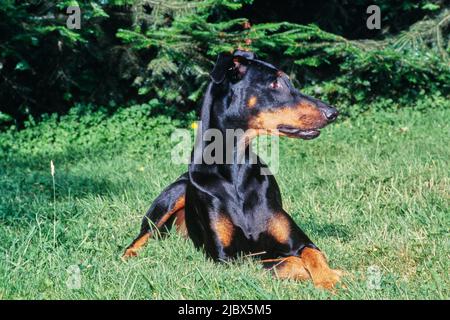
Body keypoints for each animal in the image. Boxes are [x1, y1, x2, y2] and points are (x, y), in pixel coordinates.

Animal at [123, 49, 342, 290]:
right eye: (274, 83)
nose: (333, 112)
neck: (235, 170)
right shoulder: (226, 258)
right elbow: (281, 262)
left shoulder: (300, 241)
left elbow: (312, 254)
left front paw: (330, 278)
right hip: (172, 196)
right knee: (140, 236)